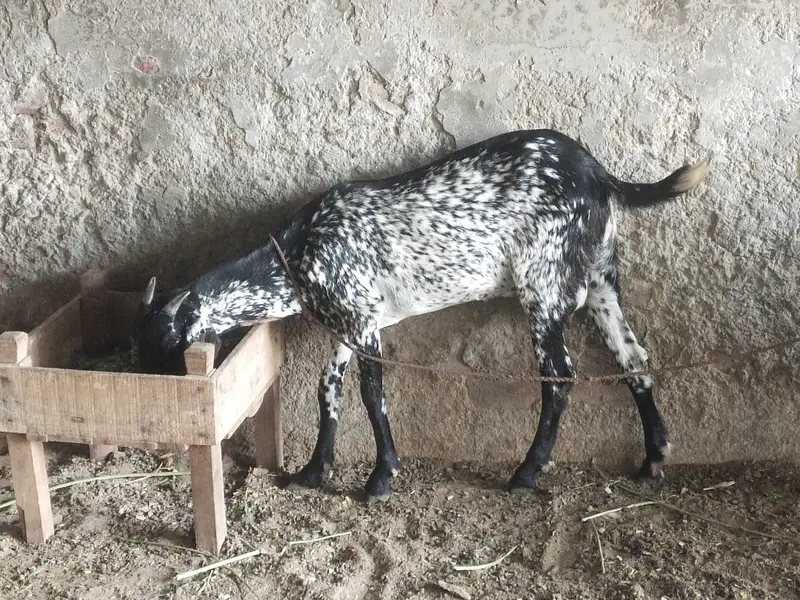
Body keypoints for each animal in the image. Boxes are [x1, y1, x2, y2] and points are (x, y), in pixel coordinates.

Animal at [135, 129, 709, 503]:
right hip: (601, 279)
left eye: (162, 349)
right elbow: (328, 388)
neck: (298, 254)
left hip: (544, 285)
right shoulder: (353, 320)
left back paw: (526, 474)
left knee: (561, 376)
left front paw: (379, 480)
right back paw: (654, 456)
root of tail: (600, 174)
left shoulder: (362, 320)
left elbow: (372, 395)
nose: (163, 433)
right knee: (633, 357)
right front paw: (313, 472)